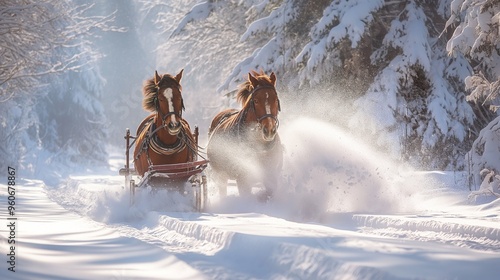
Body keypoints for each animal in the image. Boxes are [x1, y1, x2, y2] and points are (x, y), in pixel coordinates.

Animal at [207, 71, 284, 200]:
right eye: (256, 101)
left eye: (275, 99)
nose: (269, 130)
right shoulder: (243, 179)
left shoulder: (271, 174)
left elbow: (269, 192)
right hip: (221, 176)